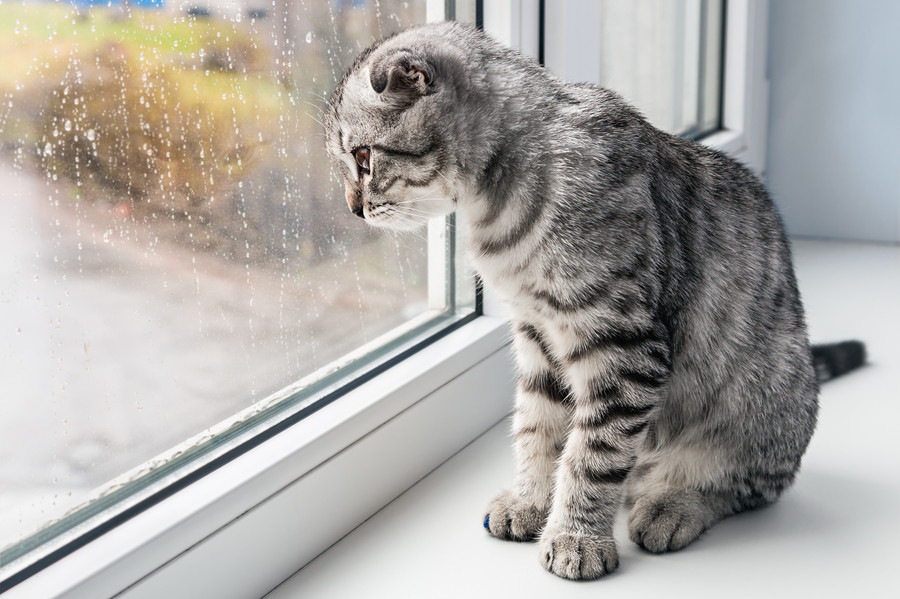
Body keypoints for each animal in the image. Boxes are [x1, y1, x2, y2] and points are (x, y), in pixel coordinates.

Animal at [324, 23, 864, 580]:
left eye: (363, 158)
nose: (353, 208)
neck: (498, 211)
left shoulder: (623, 345)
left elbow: (593, 452)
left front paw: (576, 536)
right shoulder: (538, 335)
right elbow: (538, 427)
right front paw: (532, 500)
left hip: (764, 401)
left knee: (741, 482)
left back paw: (673, 502)